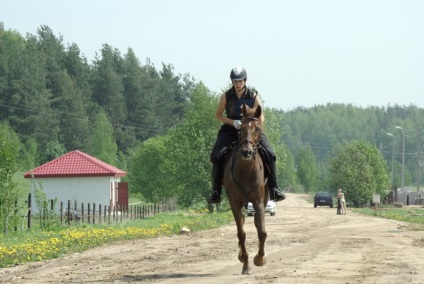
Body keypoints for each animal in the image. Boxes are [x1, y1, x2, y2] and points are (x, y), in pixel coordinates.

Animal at [222, 103, 268, 274]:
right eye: (240, 128)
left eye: (258, 128)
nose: (246, 152)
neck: (246, 171)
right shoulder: (234, 202)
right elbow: (241, 233)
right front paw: (246, 264)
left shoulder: (259, 200)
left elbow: (262, 231)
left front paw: (260, 259)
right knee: (241, 222)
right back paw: (242, 256)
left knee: (256, 223)